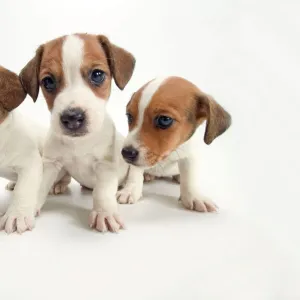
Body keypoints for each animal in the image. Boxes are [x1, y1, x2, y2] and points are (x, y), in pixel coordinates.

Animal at [19, 34, 143, 233]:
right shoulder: (50, 163)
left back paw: (129, 191)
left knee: (136, 175)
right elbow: (37, 186)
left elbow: (102, 192)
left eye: (97, 75)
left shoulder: (105, 166)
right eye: (48, 81)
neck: (78, 143)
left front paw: (104, 212)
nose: (72, 117)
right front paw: (23, 210)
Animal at [122, 76, 232, 212]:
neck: (170, 152)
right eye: (129, 116)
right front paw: (129, 190)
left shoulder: (190, 157)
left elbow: (189, 177)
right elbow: (135, 173)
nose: (126, 153)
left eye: (164, 120)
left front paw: (193, 196)